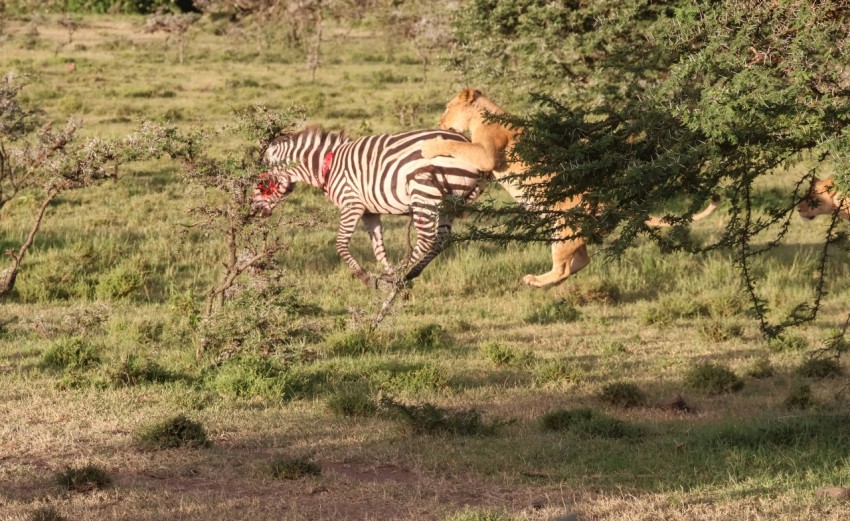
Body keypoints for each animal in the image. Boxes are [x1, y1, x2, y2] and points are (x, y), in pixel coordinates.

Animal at [252, 126, 485, 287]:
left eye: (261, 182)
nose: (254, 212)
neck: (329, 165)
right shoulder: (369, 211)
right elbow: (378, 247)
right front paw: (386, 276)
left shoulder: (351, 204)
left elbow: (341, 245)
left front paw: (368, 278)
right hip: (448, 205)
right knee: (441, 240)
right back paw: (408, 274)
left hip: (424, 192)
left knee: (427, 239)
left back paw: (402, 271)